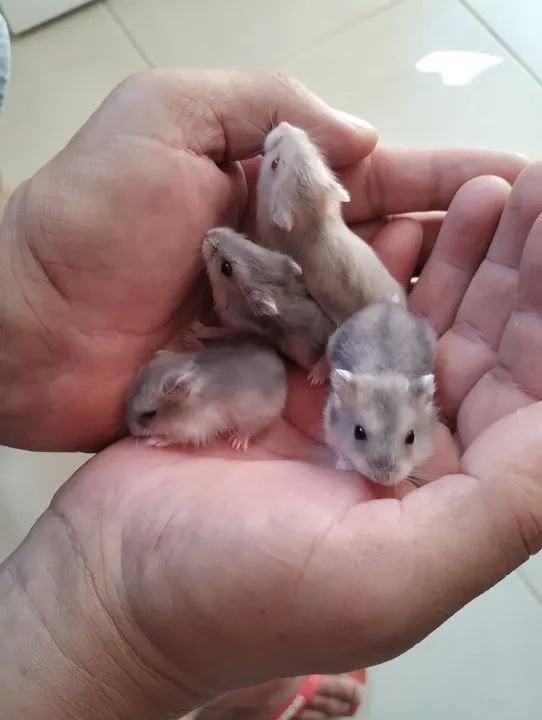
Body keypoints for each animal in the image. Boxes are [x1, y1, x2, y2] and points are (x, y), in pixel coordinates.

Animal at [126, 337, 287, 451]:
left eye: (150, 414)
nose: (131, 431)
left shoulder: (194, 430)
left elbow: (173, 437)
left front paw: (154, 440)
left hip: (256, 417)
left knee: (249, 430)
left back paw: (237, 441)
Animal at [189, 226, 336, 377]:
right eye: (249, 239)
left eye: (226, 268)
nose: (209, 233)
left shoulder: (236, 325)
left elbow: (217, 331)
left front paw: (193, 329)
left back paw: (316, 375)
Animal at [324, 301, 437, 485]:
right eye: (358, 432)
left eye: (411, 437)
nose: (383, 478)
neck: (384, 375)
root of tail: (388, 305)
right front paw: (344, 466)